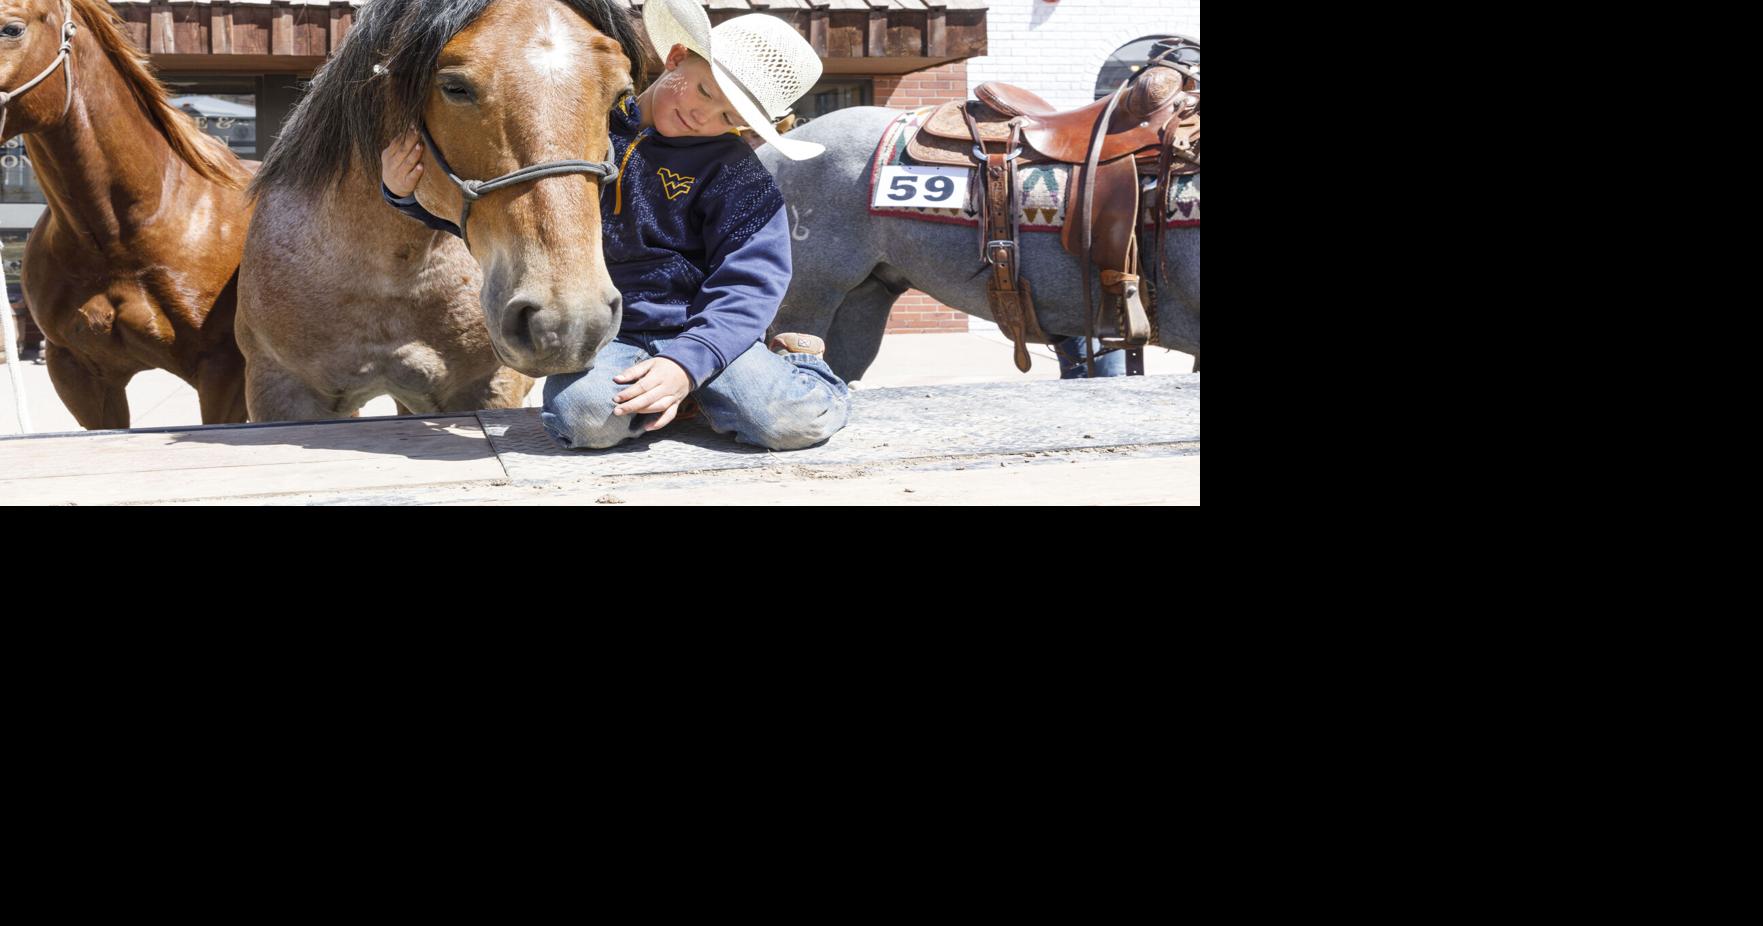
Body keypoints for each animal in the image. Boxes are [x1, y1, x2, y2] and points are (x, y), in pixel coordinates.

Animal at [238, 0, 644, 422]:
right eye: (455, 88)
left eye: (621, 96)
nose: (571, 321)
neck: (389, 274)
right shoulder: (283, 389)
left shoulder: (487, 388)